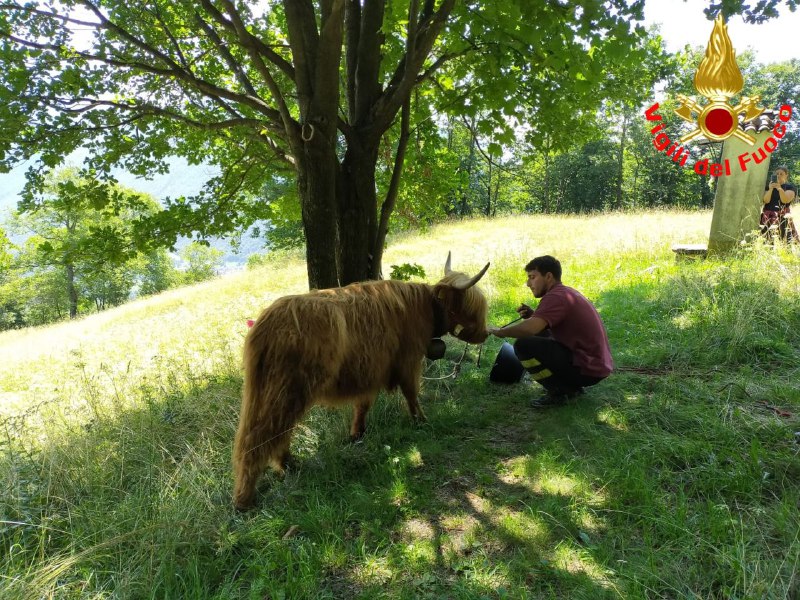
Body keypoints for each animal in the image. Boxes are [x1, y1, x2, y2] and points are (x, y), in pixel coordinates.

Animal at [233, 253, 488, 510]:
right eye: (471, 307)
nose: (486, 334)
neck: (424, 308)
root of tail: (265, 324)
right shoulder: (408, 361)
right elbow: (411, 394)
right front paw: (421, 421)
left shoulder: (371, 371)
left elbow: (363, 404)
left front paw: (357, 434)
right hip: (286, 390)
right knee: (260, 437)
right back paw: (245, 498)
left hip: (270, 391)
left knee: (275, 432)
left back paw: (289, 466)